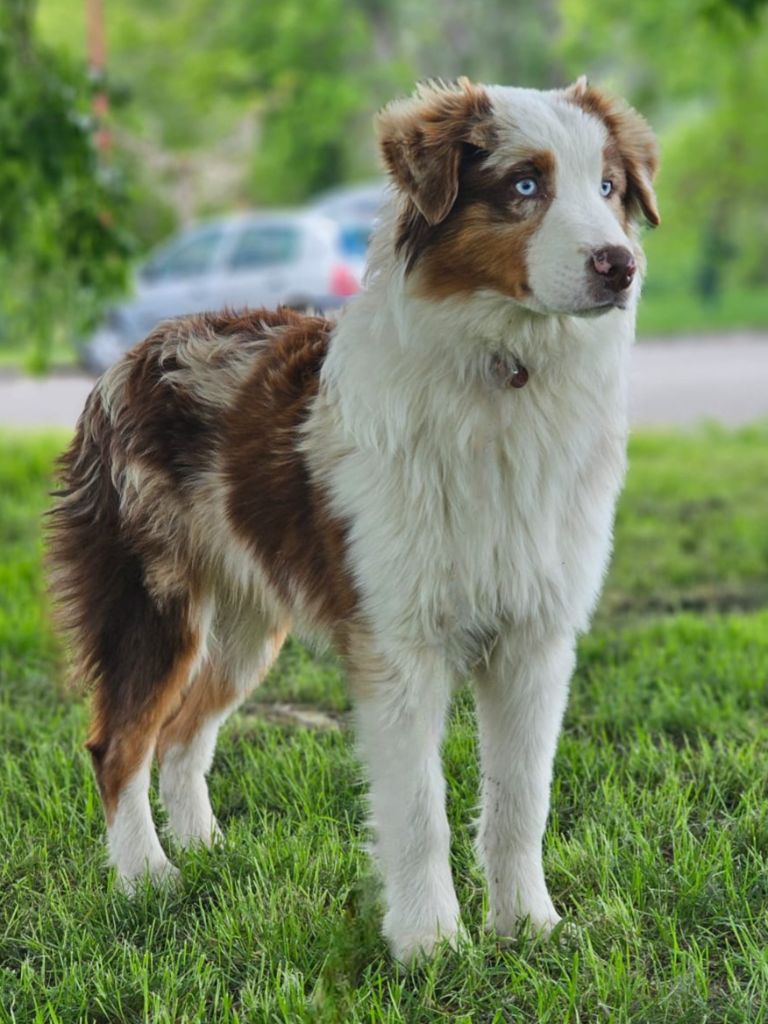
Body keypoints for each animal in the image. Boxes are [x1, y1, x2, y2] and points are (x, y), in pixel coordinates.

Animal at [49, 75, 663, 962]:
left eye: (610, 187)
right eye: (524, 186)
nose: (622, 266)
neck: (504, 372)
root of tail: (132, 355)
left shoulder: (536, 637)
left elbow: (521, 801)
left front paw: (529, 928)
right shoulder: (398, 639)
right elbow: (418, 810)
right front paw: (431, 946)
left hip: (248, 625)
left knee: (183, 732)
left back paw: (204, 850)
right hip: (152, 600)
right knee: (119, 742)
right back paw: (147, 878)